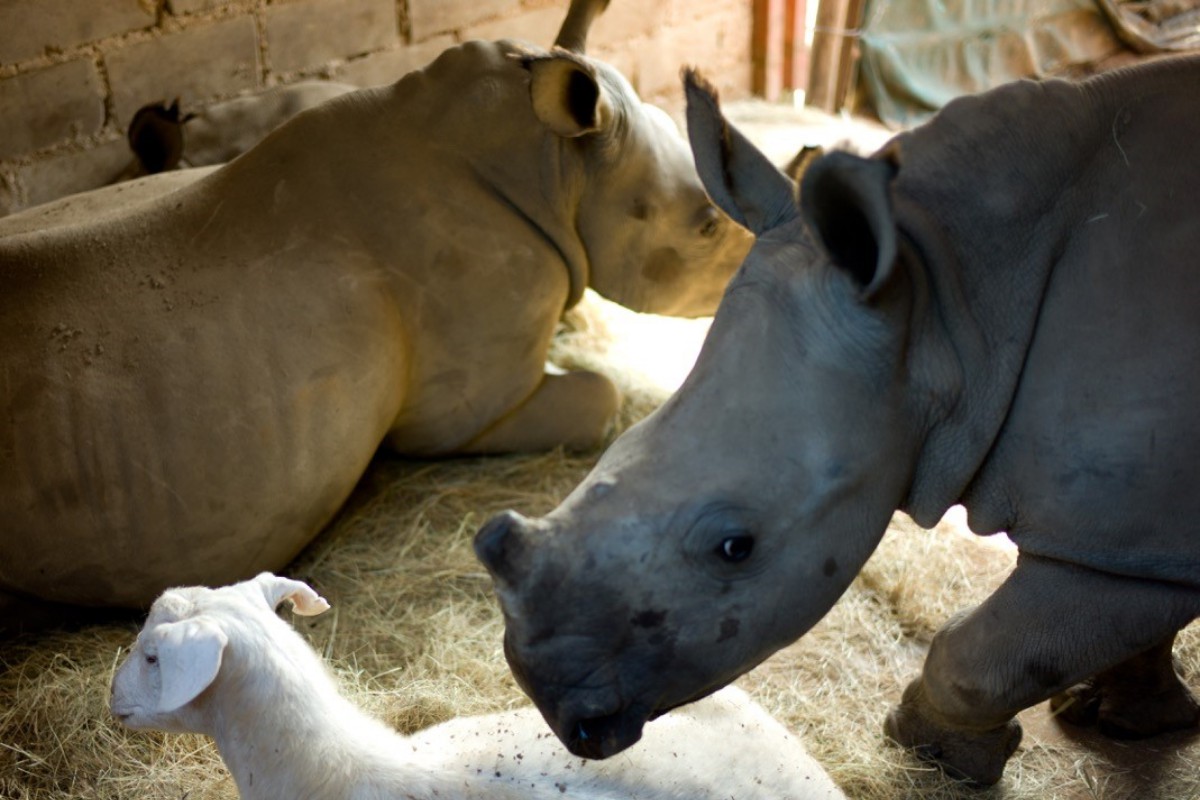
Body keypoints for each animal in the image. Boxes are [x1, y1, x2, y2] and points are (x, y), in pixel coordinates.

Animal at [477, 59, 1200, 786]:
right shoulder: (1136, 529)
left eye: (736, 547)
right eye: (619, 445)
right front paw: (1127, 714)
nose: (548, 702)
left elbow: (985, 656)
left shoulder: (1114, 541)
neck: (947, 302)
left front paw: (939, 752)